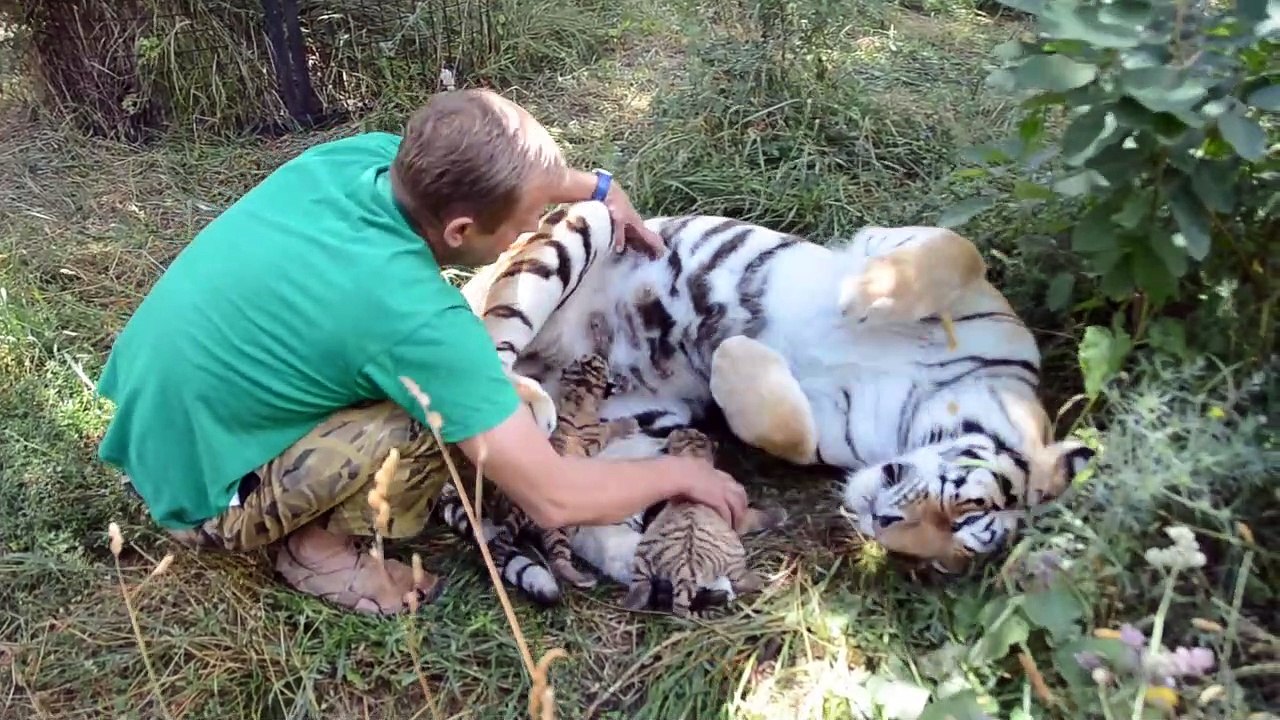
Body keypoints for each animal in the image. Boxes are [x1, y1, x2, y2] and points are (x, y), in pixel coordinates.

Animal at [434, 352, 638, 605]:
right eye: (596, 362)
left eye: (586, 361)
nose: (595, 354)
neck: (576, 397)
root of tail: (518, 512)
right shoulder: (599, 433)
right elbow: (611, 428)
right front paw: (629, 424)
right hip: (558, 529)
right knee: (558, 559)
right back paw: (583, 579)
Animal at [448, 198, 1096, 596]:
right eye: (968, 510)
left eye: (939, 557)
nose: (882, 523)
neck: (927, 403)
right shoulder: (944, 272)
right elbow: (960, 248)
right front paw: (863, 295)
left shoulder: (832, 428)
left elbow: (788, 430)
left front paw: (733, 354)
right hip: (581, 225)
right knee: (487, 341)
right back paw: (525, 399)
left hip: (644, 426)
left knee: (568, 505)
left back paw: (650, 563)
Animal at [623, 427, 787, 618]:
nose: (683, 427)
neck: (692, 454)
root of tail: (684, 573)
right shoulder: (742, 517)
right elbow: (760, 516)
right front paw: (780, 514)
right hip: (734, 560)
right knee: (740, 580)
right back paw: (761, 582)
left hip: (642, 559)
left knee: (640, 587)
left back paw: (629, 603)